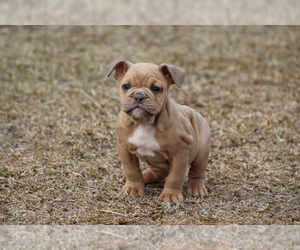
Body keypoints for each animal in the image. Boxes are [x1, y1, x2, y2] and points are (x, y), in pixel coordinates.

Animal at [108, 60, 211, 203]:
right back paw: (145, 176)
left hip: (201, 151)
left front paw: (170, 195)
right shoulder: (124, 148)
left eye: (156, 89)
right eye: (126, 86)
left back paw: (197, 188)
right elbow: (131, 170)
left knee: (197, 171)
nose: (138, 96)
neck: (144, 122)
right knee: (159, 170)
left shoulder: (180, 152)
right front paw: (133, 188)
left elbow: (175, 176)